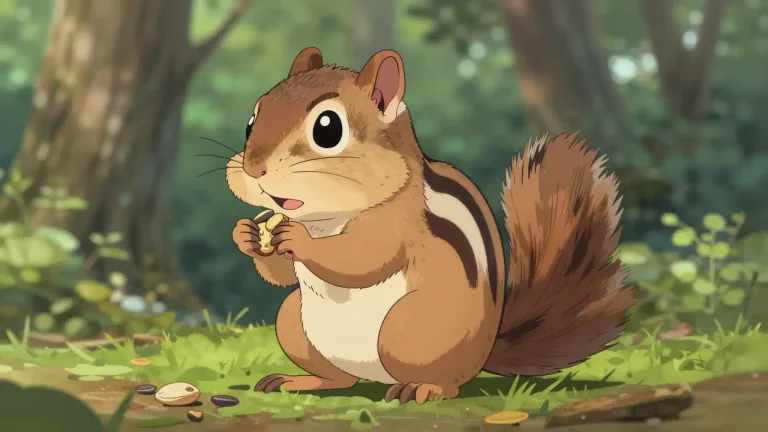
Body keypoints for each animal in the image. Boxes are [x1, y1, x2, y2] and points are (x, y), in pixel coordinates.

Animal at [228, 47, 635, 405]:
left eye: (328, 129)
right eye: (252, 119)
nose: (253, 169)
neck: (323, 219)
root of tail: (484, 353)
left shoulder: (397, 222)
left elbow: (363, 258)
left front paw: (299, 241)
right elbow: (282, 275)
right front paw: (245, 234)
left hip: (411, 328)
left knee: (446, 382)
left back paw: (422, 388)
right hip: (291, 321)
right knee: (339, 379)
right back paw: (299, 380)